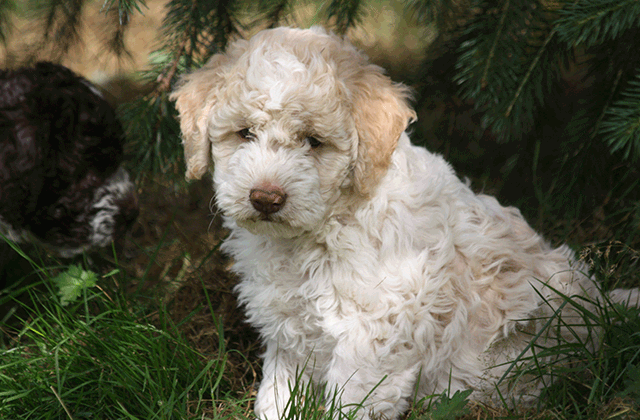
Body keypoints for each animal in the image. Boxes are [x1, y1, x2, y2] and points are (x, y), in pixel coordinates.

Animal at [171, 27, 640, 420]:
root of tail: (603, 304)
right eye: (244, 134)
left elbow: (350, 401)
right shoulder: (288, 332)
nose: (266, 198)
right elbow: (278, 395)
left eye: (313, 142)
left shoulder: (373, 334)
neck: (322, 228)